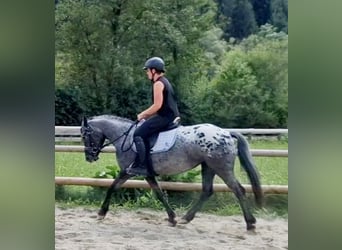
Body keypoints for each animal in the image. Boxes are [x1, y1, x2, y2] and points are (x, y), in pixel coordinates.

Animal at [81, 115, 264, 230]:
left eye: (84, 136)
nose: (89, 157)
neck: (125, 137)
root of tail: (226, 132)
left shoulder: (128, 171)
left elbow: (112, 187)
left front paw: (101, 213)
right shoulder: (148, 175)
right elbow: (160, 194)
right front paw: (172, 218)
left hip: (221, 168)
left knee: (238, 190)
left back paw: (250, 223)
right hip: (208, 167)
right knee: (207, 191)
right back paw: (186, 218)